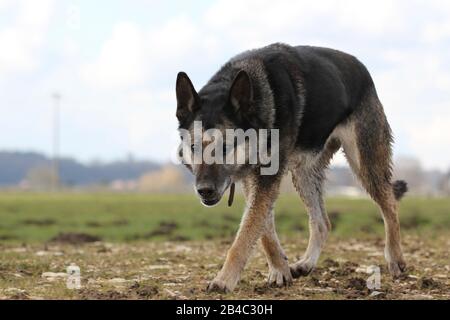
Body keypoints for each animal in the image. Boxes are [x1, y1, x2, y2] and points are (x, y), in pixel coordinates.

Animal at [175, 43, 408, 294]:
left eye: (226, 146)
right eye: (194, 147)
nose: (204, 190)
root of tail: (361, 66)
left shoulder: (266, 179)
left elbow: (245, 236)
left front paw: (224, 280)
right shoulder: (254, 180)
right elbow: (263, 230)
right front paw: (280, 270)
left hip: (364, 161)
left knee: (389, 203)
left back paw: (395, 258)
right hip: (304, 174)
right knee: (322, 223)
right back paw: (305, 264)